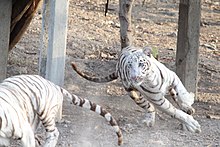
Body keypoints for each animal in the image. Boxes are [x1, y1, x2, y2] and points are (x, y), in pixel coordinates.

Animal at [71, 45, 202, 133]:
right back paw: (149, 121)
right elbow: (174, 112)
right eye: (129, 66)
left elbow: (181, 89)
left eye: (140, 64)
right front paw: (192, 124)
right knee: (149, 107)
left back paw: (187, 107)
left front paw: (187, 100)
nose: (134, 76)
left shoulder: (173, 76)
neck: (151, 78)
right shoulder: (158, 99)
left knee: (174, 95)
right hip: (135, 96)